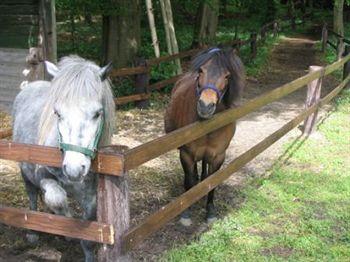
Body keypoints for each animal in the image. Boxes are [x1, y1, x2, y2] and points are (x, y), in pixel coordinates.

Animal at [165, 46, 245, 225]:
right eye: (201, 71)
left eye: (227, 76)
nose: (205, 106)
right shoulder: (186, 154)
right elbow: (189, 181)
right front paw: (186, 213)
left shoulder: (218, 156)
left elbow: (212, 181)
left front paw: (210, 212)